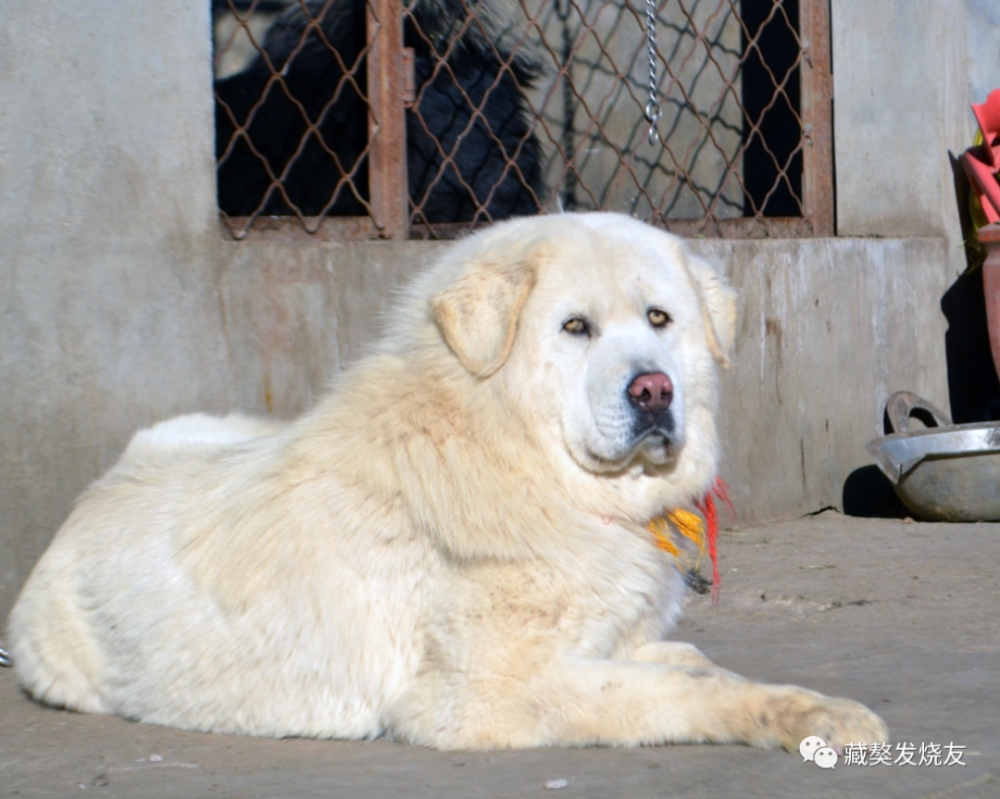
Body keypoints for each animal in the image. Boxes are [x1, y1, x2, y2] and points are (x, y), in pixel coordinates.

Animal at [7, 212, 884, 752]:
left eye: (660, 319)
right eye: (576, 328)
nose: (653, 389)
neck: (515, 461)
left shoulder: (622, 640)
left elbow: (696, 662)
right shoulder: (489, 693)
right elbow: (688, 694)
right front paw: (810, 713)